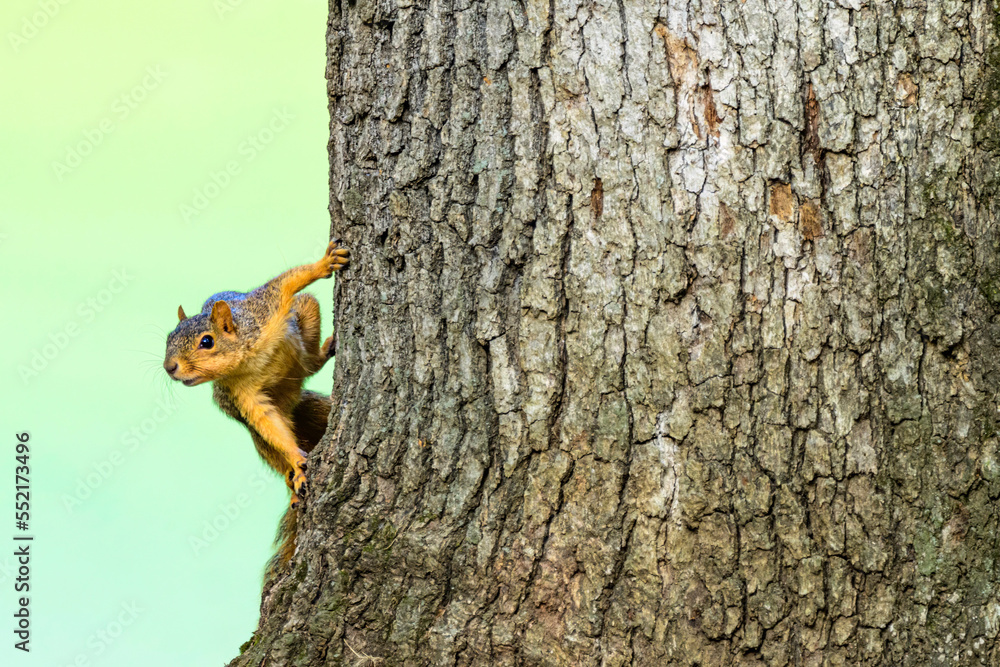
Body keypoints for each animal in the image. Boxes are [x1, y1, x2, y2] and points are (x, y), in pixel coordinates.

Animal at [163, 240, 349, 571]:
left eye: (207, 341)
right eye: (168, 338)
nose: (169, 367)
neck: (247, 358)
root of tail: (292, 404)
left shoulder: (265, 308)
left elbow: (289, 282)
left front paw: (325, 263)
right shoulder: (242, 393)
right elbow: (265, 419)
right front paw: (298, 462)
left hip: (301, 315)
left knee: (309, 356)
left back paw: (320, 353)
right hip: (255, 435)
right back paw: (292, 481)